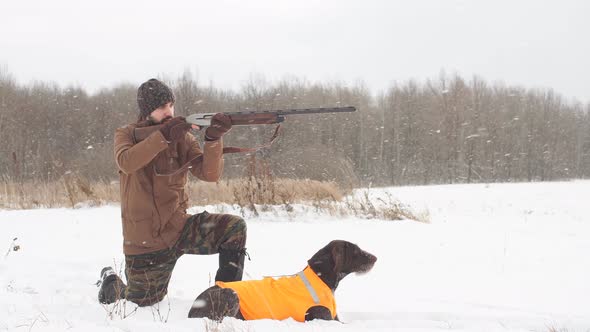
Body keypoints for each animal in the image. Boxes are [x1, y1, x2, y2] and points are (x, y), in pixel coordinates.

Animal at [190, 241, 380, 322]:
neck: (320, 278)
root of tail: (193, 308)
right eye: (356, 251)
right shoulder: (323, 318)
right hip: (232, 294)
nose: (376, 257)